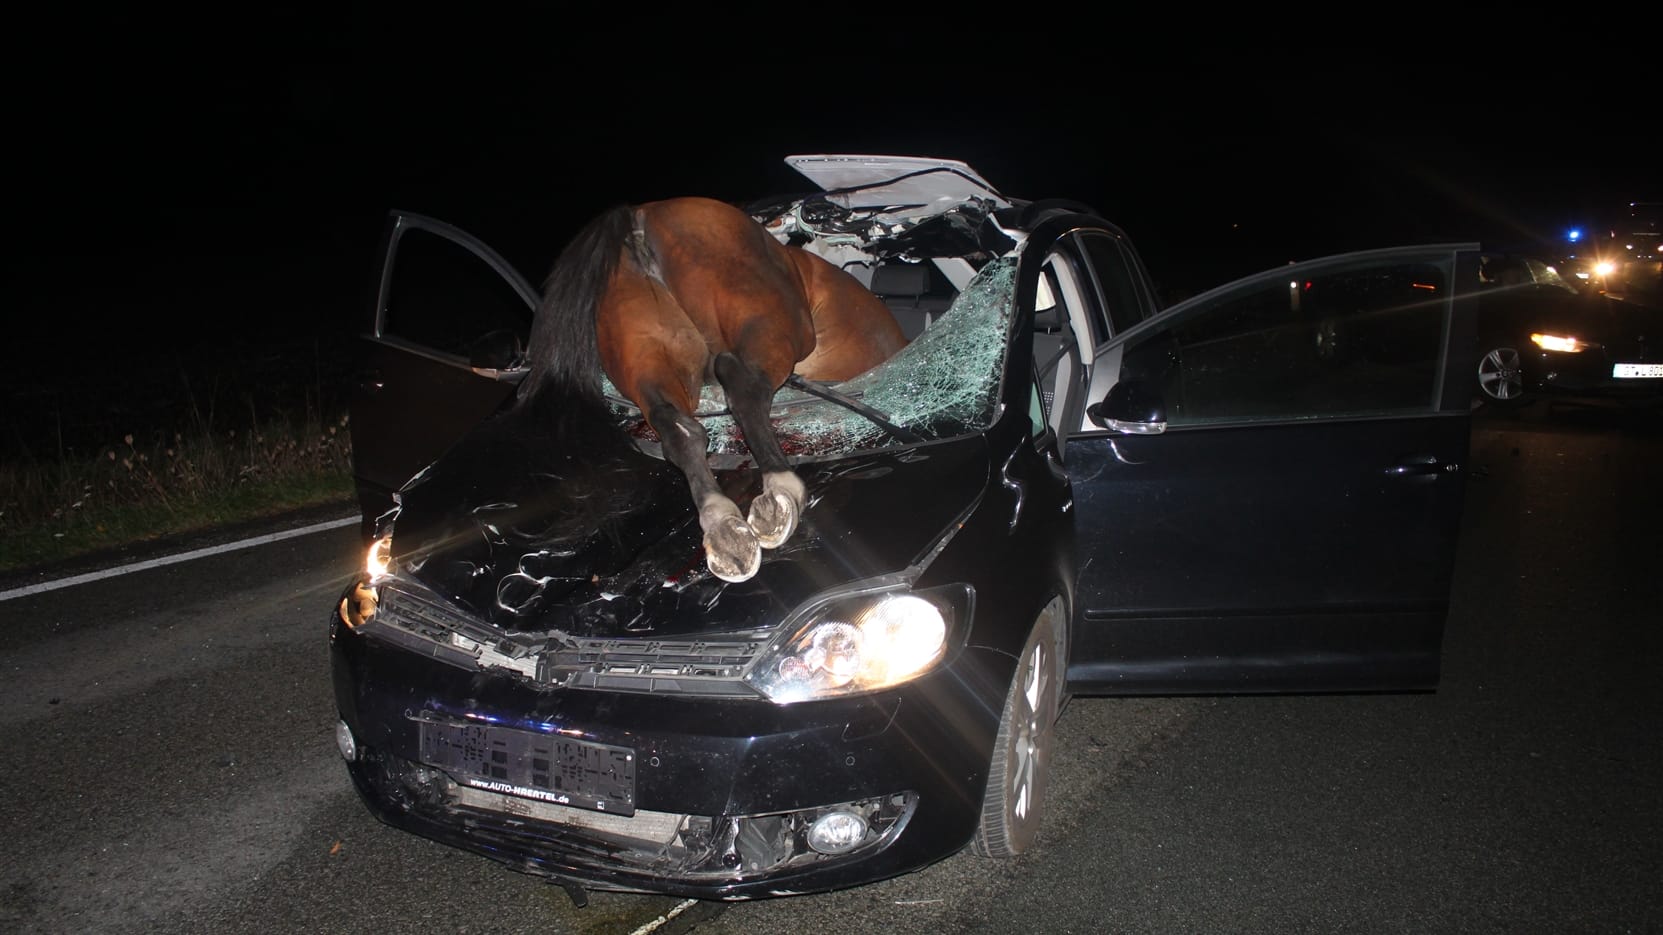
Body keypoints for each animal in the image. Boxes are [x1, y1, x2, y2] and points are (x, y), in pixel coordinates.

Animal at [518, 196, 911, 578]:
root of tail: (639, 217)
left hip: (651, 354)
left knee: (679, 428)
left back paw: (722, 526)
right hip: (777, 327)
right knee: (740, 382)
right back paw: (780, 490)